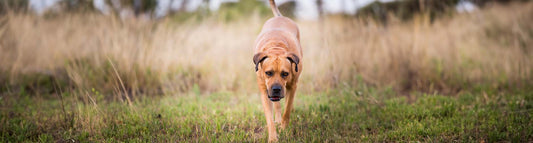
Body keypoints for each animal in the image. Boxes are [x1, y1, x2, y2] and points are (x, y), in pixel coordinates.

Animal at [252, 0, 302, 142]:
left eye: (285, 74)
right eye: (268, 73)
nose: (276, 89)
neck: (276, 47)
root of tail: (280, 17)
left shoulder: (292, 85)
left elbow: (287, 110)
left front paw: (284, 129)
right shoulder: (265, 91)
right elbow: (269, 118)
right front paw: (273, 137)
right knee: (277, 106)